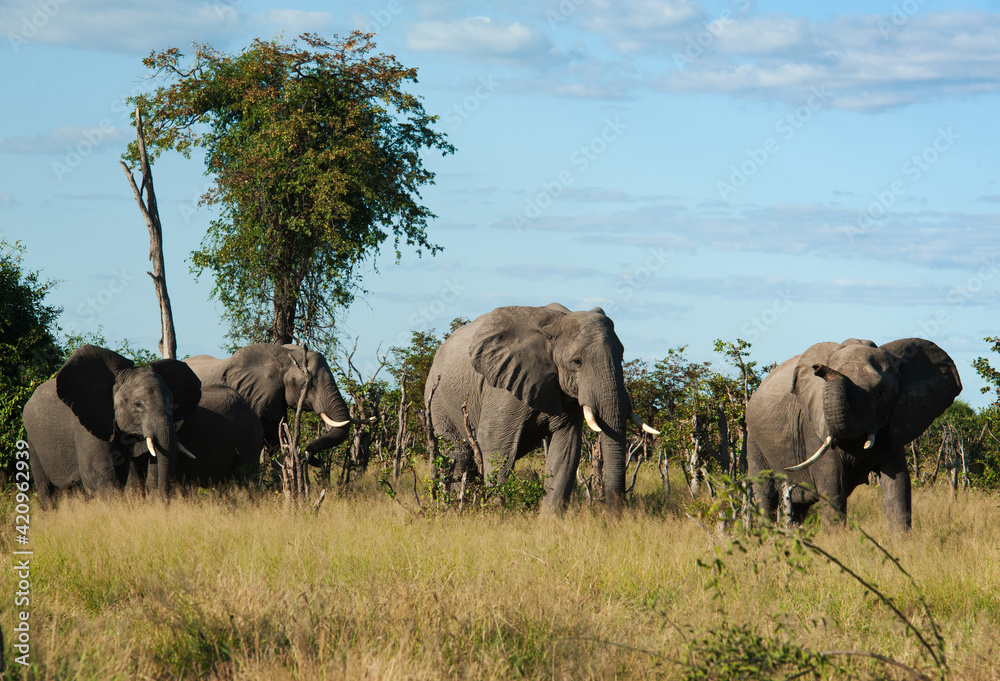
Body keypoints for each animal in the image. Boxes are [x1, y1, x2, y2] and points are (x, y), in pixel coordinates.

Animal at [22, 344, 202, 508]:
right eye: (138, 404)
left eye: (172, 402)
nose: (161, 505)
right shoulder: (86, 423)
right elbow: (99, 476)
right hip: (33, 441)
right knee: (46, 488)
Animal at [425, 303, 657, 514]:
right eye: (577, 362)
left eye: (622, 357)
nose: (613, 517)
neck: (555, 325)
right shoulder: (503, 386)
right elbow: (495, 443)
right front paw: (498, 513)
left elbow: (567, 447)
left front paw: (550, 521)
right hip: (438, 400)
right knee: (458, 454)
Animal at [746, 338, 962, 531]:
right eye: (822, 388)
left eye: (881, 394)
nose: (819, 367)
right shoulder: (813, 426)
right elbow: (833, 486)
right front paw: (836, 539)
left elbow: (898, 484)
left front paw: (901, 541)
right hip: (754, 440)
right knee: (766, 494)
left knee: (798, 505)